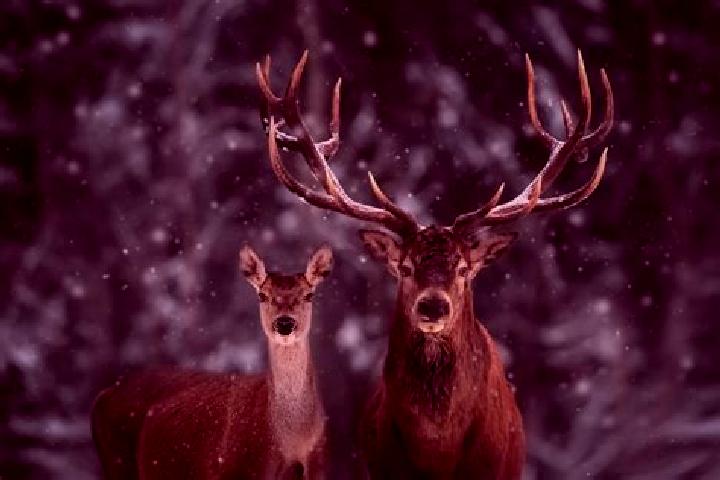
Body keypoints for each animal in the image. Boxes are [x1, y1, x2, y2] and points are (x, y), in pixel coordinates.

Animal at [91, 244, 334, 479]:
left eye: (309, 295)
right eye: (262, 295)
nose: (284, 323)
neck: (292, 440)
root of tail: (106, 393)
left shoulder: (319, 467)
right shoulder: (238, 470)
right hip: (118, 462)